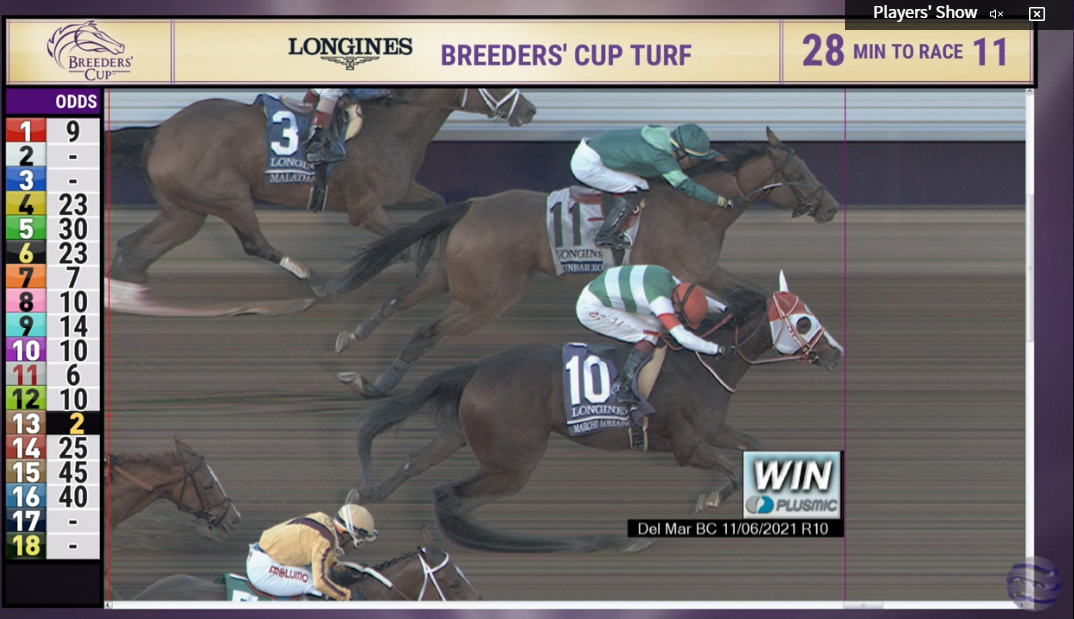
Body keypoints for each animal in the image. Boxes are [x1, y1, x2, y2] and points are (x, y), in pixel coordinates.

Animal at [106, 88, 537, 309]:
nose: (530, 110)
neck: (389, 128)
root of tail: (160, 131)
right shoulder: (364, 209)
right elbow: (395, 247)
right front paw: (349, 280)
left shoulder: (402, 190)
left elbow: (437, 206)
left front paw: (429, 256)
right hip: (227, 195)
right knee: (255, 244)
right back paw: (316, 281)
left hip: (185, 209)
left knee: (134, 246)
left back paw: (128, 294)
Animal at [330, 128, 840, 397]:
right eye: (798, 172)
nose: (832, 207)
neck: (695, 208)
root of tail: (471, 205)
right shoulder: (696, 271)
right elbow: (745, 298)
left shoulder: (699, 275)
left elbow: (745, 297)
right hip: (486, 299)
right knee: (424, 332)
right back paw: (377, 385)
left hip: (451, 278)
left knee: (399, 298)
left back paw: (350, 339)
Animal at [353, 272, 843, 553]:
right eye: (803, 321)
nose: (837, 354)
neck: (702, 364)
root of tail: (477, 366)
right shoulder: (688, 446)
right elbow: (732, 472)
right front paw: (701, 503)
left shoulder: (712, 431)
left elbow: (752, 447)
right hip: (512, 463)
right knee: (449, 496)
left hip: (470, 436)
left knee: (417, 462)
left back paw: (368, 495)